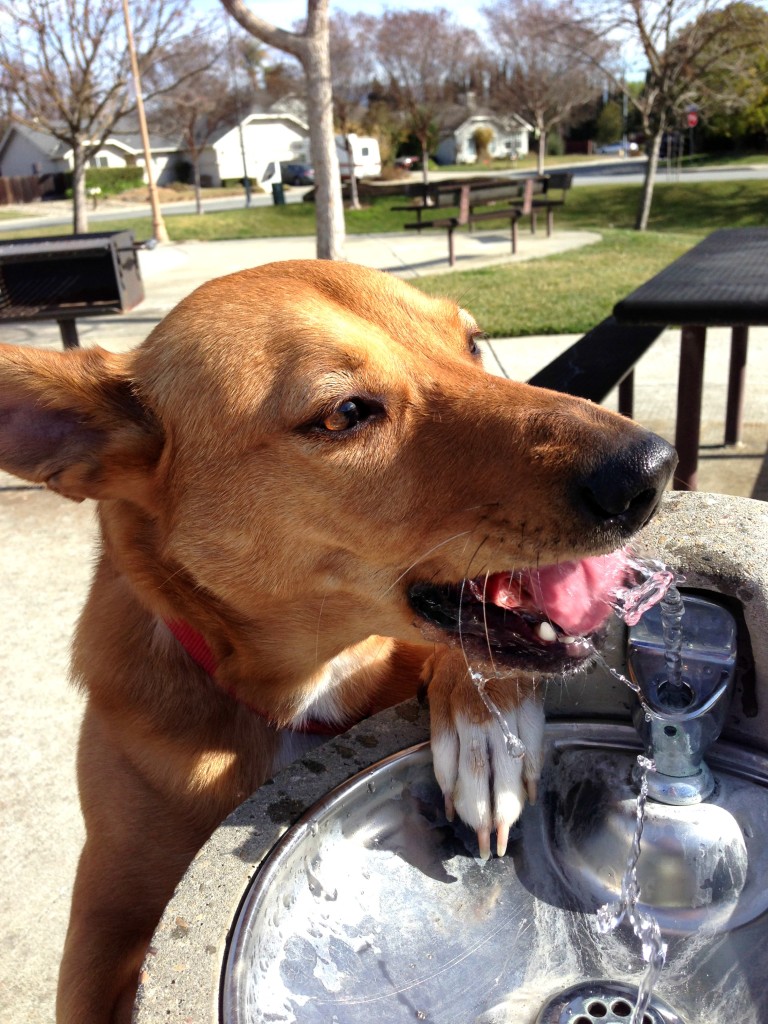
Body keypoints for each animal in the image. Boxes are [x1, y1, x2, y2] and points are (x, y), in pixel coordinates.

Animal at [0, 260, 671, 1019]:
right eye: (343, 414)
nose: (652, 468)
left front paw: (486, 732)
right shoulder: (100, 922)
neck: (300, 693)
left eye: (471, 344)